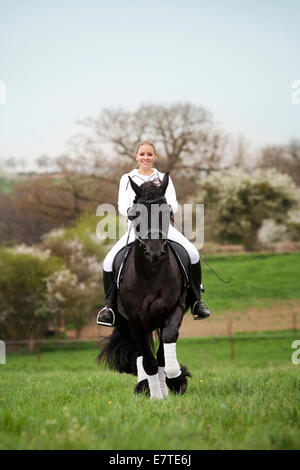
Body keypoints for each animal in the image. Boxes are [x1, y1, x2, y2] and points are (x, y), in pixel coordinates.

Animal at [97, 173, 191, 400]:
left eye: (166, 212)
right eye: (136, 214)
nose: (154, 253)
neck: (151, 273)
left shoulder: (173, 310)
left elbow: (166, 345)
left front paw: (176, 379)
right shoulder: (136, 320)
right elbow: (148, 361)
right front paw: (156, 396)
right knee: (142, 355)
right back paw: (145, 386)